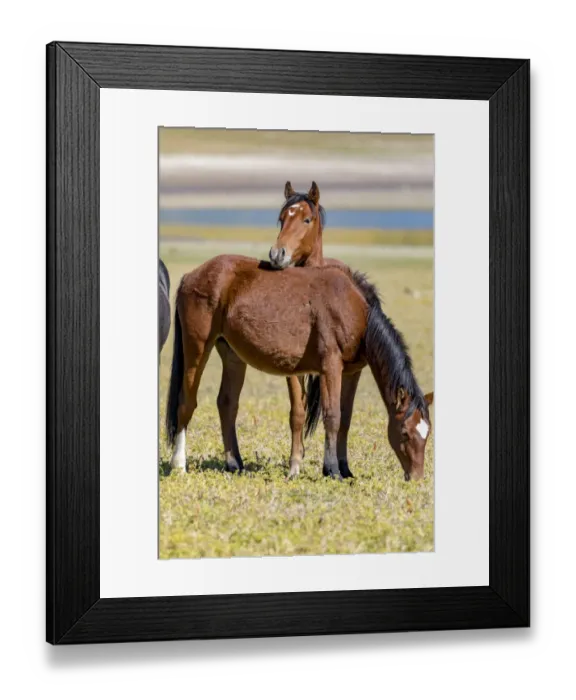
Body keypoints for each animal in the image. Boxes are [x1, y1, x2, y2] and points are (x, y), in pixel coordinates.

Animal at [165, 255, 433, 482]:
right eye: (405, 433)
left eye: (427, 433)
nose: (417, 478)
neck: (353, 308)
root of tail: (191, 276)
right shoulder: (330, 367)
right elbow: (333, 416)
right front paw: (332, 470)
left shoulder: (351, 372)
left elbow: (345, 418)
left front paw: (345, 469)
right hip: (198, 347)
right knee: (186, 403)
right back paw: (179, 465)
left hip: (232, 355)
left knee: (227, 404)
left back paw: (235, 465)